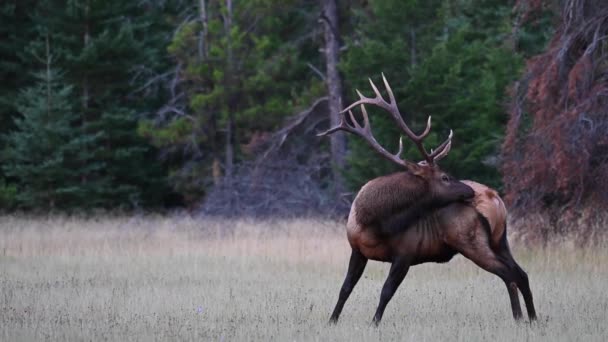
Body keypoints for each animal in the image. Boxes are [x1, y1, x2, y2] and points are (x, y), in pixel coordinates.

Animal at [318, 75, 536, 326]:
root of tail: (497, 201)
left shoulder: (406, 253)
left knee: (510, 275)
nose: (470, 192)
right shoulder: (357, 250)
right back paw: (528, 318)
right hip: (500, 240)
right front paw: (332, 320)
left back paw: (524, 318)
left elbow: (386, 291)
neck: (373, 223)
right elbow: (345, 288)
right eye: (445, 177)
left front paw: (374, 323)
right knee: (520, 274)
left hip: (472, 242)